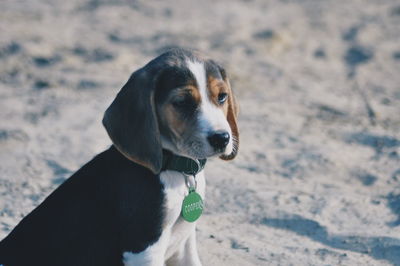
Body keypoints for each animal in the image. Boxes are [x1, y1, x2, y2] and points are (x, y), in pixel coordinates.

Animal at [0, 48, 238, 266]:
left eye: (222, 96)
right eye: (182, 102)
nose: (222, 138)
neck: (175, 170)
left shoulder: (185, 244)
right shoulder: (144, 248)